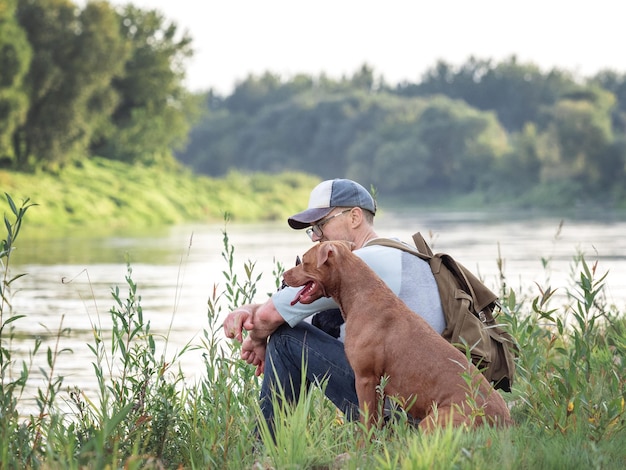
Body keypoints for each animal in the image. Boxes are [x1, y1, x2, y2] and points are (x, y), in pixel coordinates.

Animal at [280, 241, 510, 432]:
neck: (360, 294)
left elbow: (366, 422)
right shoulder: (379, 387)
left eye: (305, 262)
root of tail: (504, 423)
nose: (283, 276)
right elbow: (377, 420)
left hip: (433, 422)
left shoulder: (365, 379)